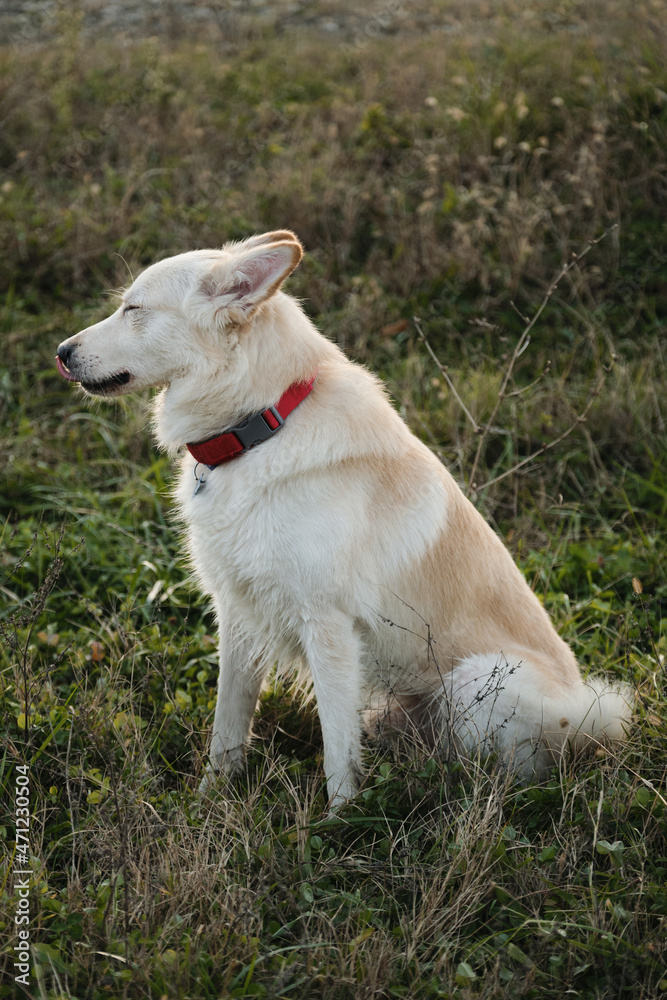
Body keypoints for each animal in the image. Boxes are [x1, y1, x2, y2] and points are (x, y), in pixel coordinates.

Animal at [56, 229, 632, 804]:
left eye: (134, 309)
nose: (61, 353)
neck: (261, 425)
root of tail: (590, 724)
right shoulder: (239, 617)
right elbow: (227, 730)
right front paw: (208, 801)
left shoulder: (327, 627)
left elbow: (335, 751)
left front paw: (338, 821)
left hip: (473, 682)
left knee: (496, 773)